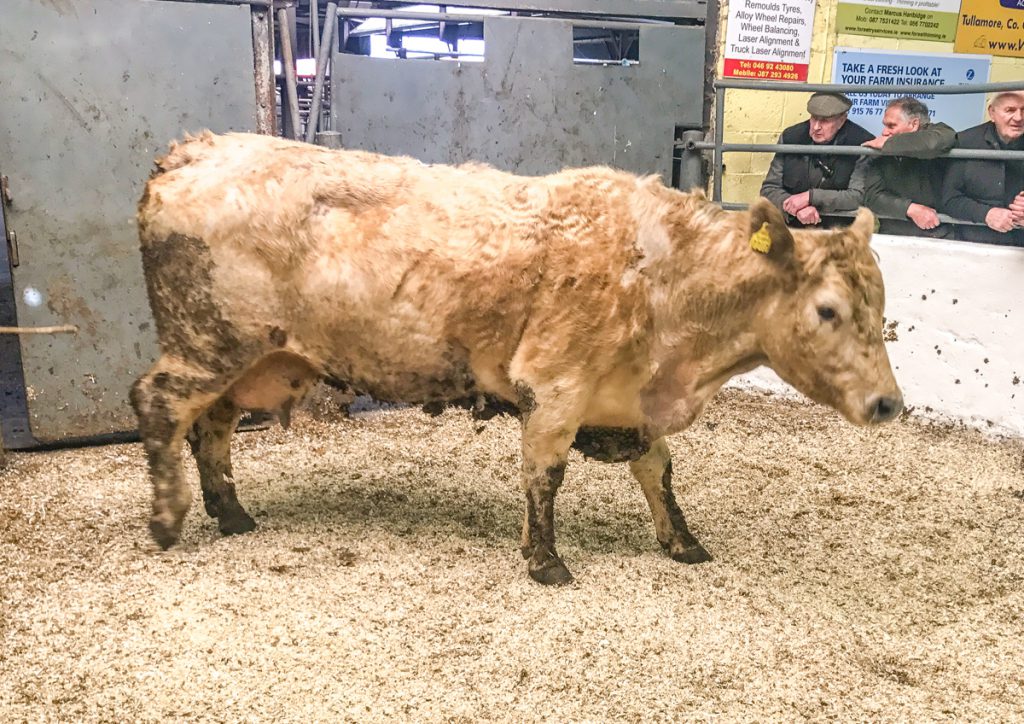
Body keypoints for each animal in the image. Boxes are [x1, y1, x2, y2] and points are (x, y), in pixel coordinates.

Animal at [131, 132, 902, 585]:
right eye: (827, 310)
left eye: (880, 301)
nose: (889, 402)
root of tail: (194, 150)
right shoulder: (556, 385)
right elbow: (544, 476)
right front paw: (547, 560)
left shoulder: (627, 400)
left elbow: (659, 472)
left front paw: (683, 542)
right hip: (207, 340)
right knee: (159, 404)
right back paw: (169, 520)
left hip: (245, 357)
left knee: (213, 426)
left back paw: (231, 512)